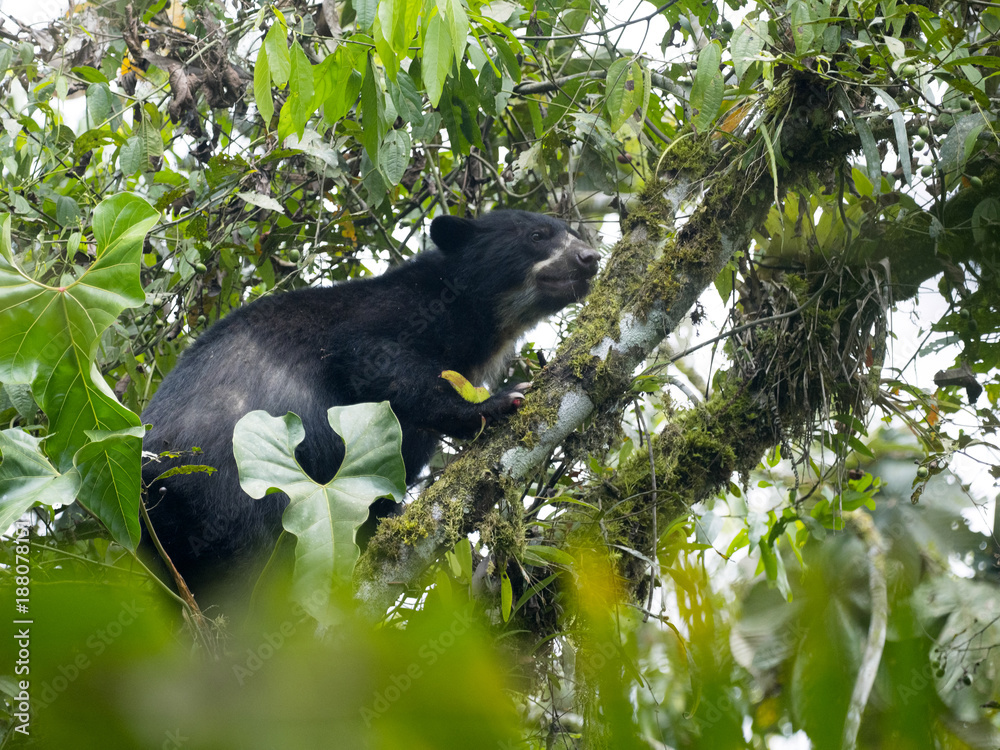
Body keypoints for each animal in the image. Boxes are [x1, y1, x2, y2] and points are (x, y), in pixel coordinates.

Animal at [140, 210, 600, 604]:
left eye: (574, 232)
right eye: (537, 236)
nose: (591, 257)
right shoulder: (384, 319)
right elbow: (372, 361)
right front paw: (498, 401)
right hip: (226, 488)